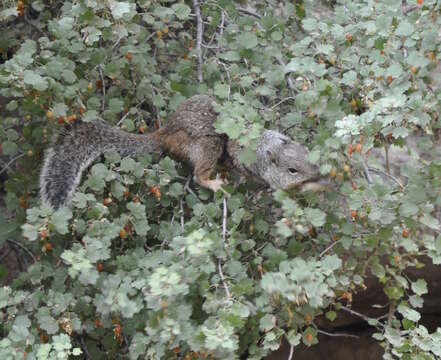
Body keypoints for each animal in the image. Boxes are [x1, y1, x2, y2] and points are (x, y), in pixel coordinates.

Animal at [39, 94, 322, 210]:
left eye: (306, 152)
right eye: (292, 170)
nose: (318, 174)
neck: (265, 147)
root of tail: (166, 132)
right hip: (206, 146)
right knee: (198, 174)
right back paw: (213, 183)